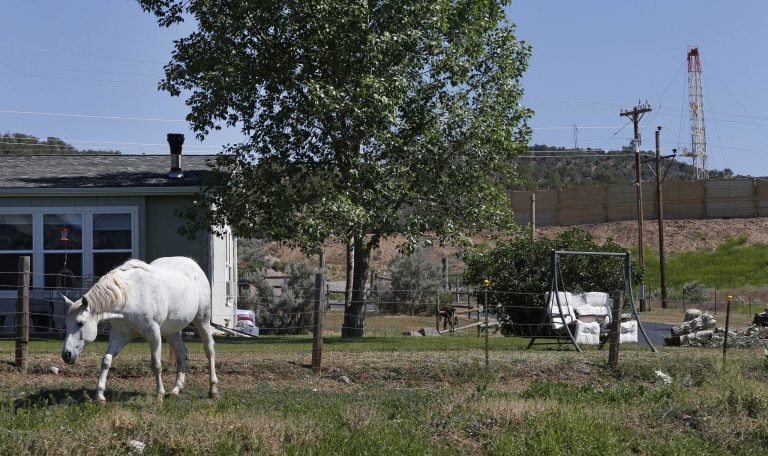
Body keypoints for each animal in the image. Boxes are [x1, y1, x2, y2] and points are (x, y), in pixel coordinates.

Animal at [61, 257, 219, 402]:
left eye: (80, 323)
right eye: (66, 324)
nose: (66, 355)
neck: (130, 296)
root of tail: (193, 264)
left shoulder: (154, 334)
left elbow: (156, 364)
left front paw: (159, 394)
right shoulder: (120, 335)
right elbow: (106, 361)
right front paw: (100, 395)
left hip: (202, 320)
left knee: (209, 350)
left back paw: (213, 390)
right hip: (173, 330)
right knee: (181, 353)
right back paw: (176, 389)